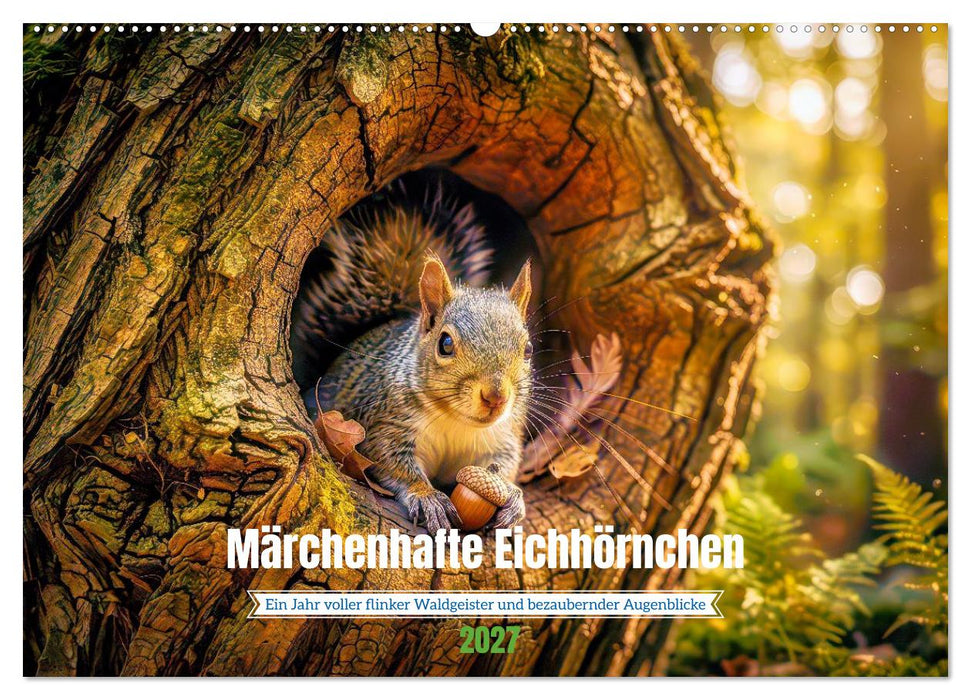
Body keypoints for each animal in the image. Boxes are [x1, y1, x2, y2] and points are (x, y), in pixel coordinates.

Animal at [294, 181, 531, 532]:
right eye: (445, 344)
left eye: (528, 349)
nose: (496, 397)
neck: (456, 420)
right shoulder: (384, 423)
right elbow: (393, 463)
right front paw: (428, 496)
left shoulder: (502, 436)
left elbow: (505, 464)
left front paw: (513, 498)